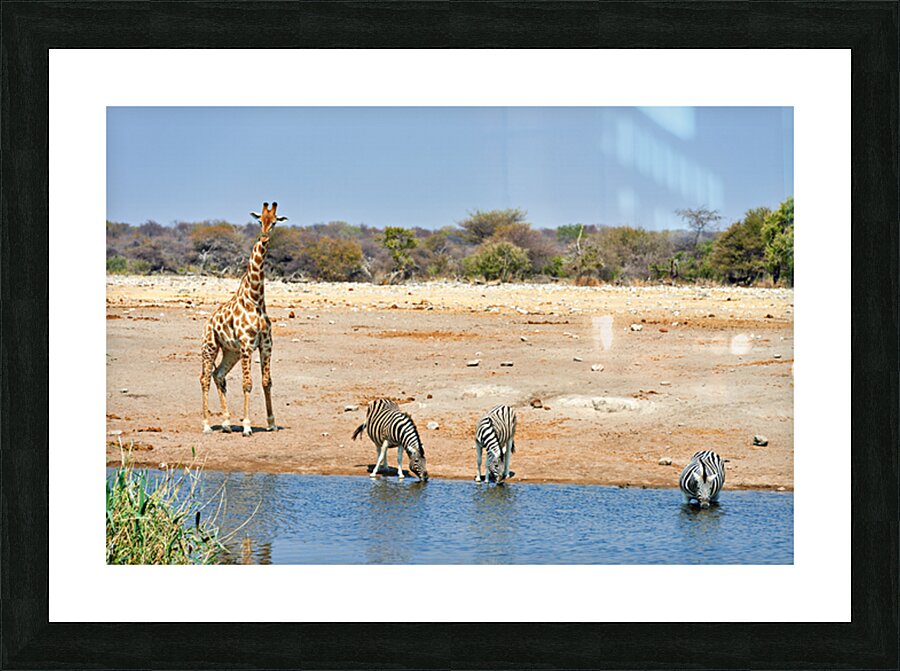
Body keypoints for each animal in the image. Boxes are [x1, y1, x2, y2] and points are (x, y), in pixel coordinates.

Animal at [200, 201, 287, 436]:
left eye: (274, 222)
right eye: (259, 221)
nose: (264, 238)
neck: (255, 298)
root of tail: (208, 322)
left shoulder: (266, 344)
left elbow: (267, 381)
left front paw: (271, 423)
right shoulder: (248, 344)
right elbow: (247, 383)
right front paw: (247, 425)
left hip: (231, 351)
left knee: (218, 375)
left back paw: (227, 423)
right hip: (210, 346)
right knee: (205, 378)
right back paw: (206, 424)